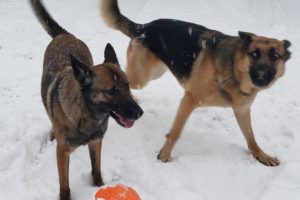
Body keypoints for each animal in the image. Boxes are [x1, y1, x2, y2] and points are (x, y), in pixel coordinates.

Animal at [30, 0, 143, 199]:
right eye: (111, 91)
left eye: (127, 85)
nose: (139, 113)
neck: (87, 114)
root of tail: (65, 34)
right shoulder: (63, 153)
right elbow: (65, 184)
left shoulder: (96, 142)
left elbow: (96, 169)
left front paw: (99, 185)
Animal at [100, 0, 290, 166]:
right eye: (254, 54)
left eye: (275, 56)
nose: (262, 72)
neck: (234, 68)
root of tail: (143, 27)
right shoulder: (189, 100)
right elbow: (175, 132)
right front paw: (164, 155)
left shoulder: (242, 110)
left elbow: (251, 137)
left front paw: (262, 156)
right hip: (142, 77)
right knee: (124, 78)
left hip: (155, 73)